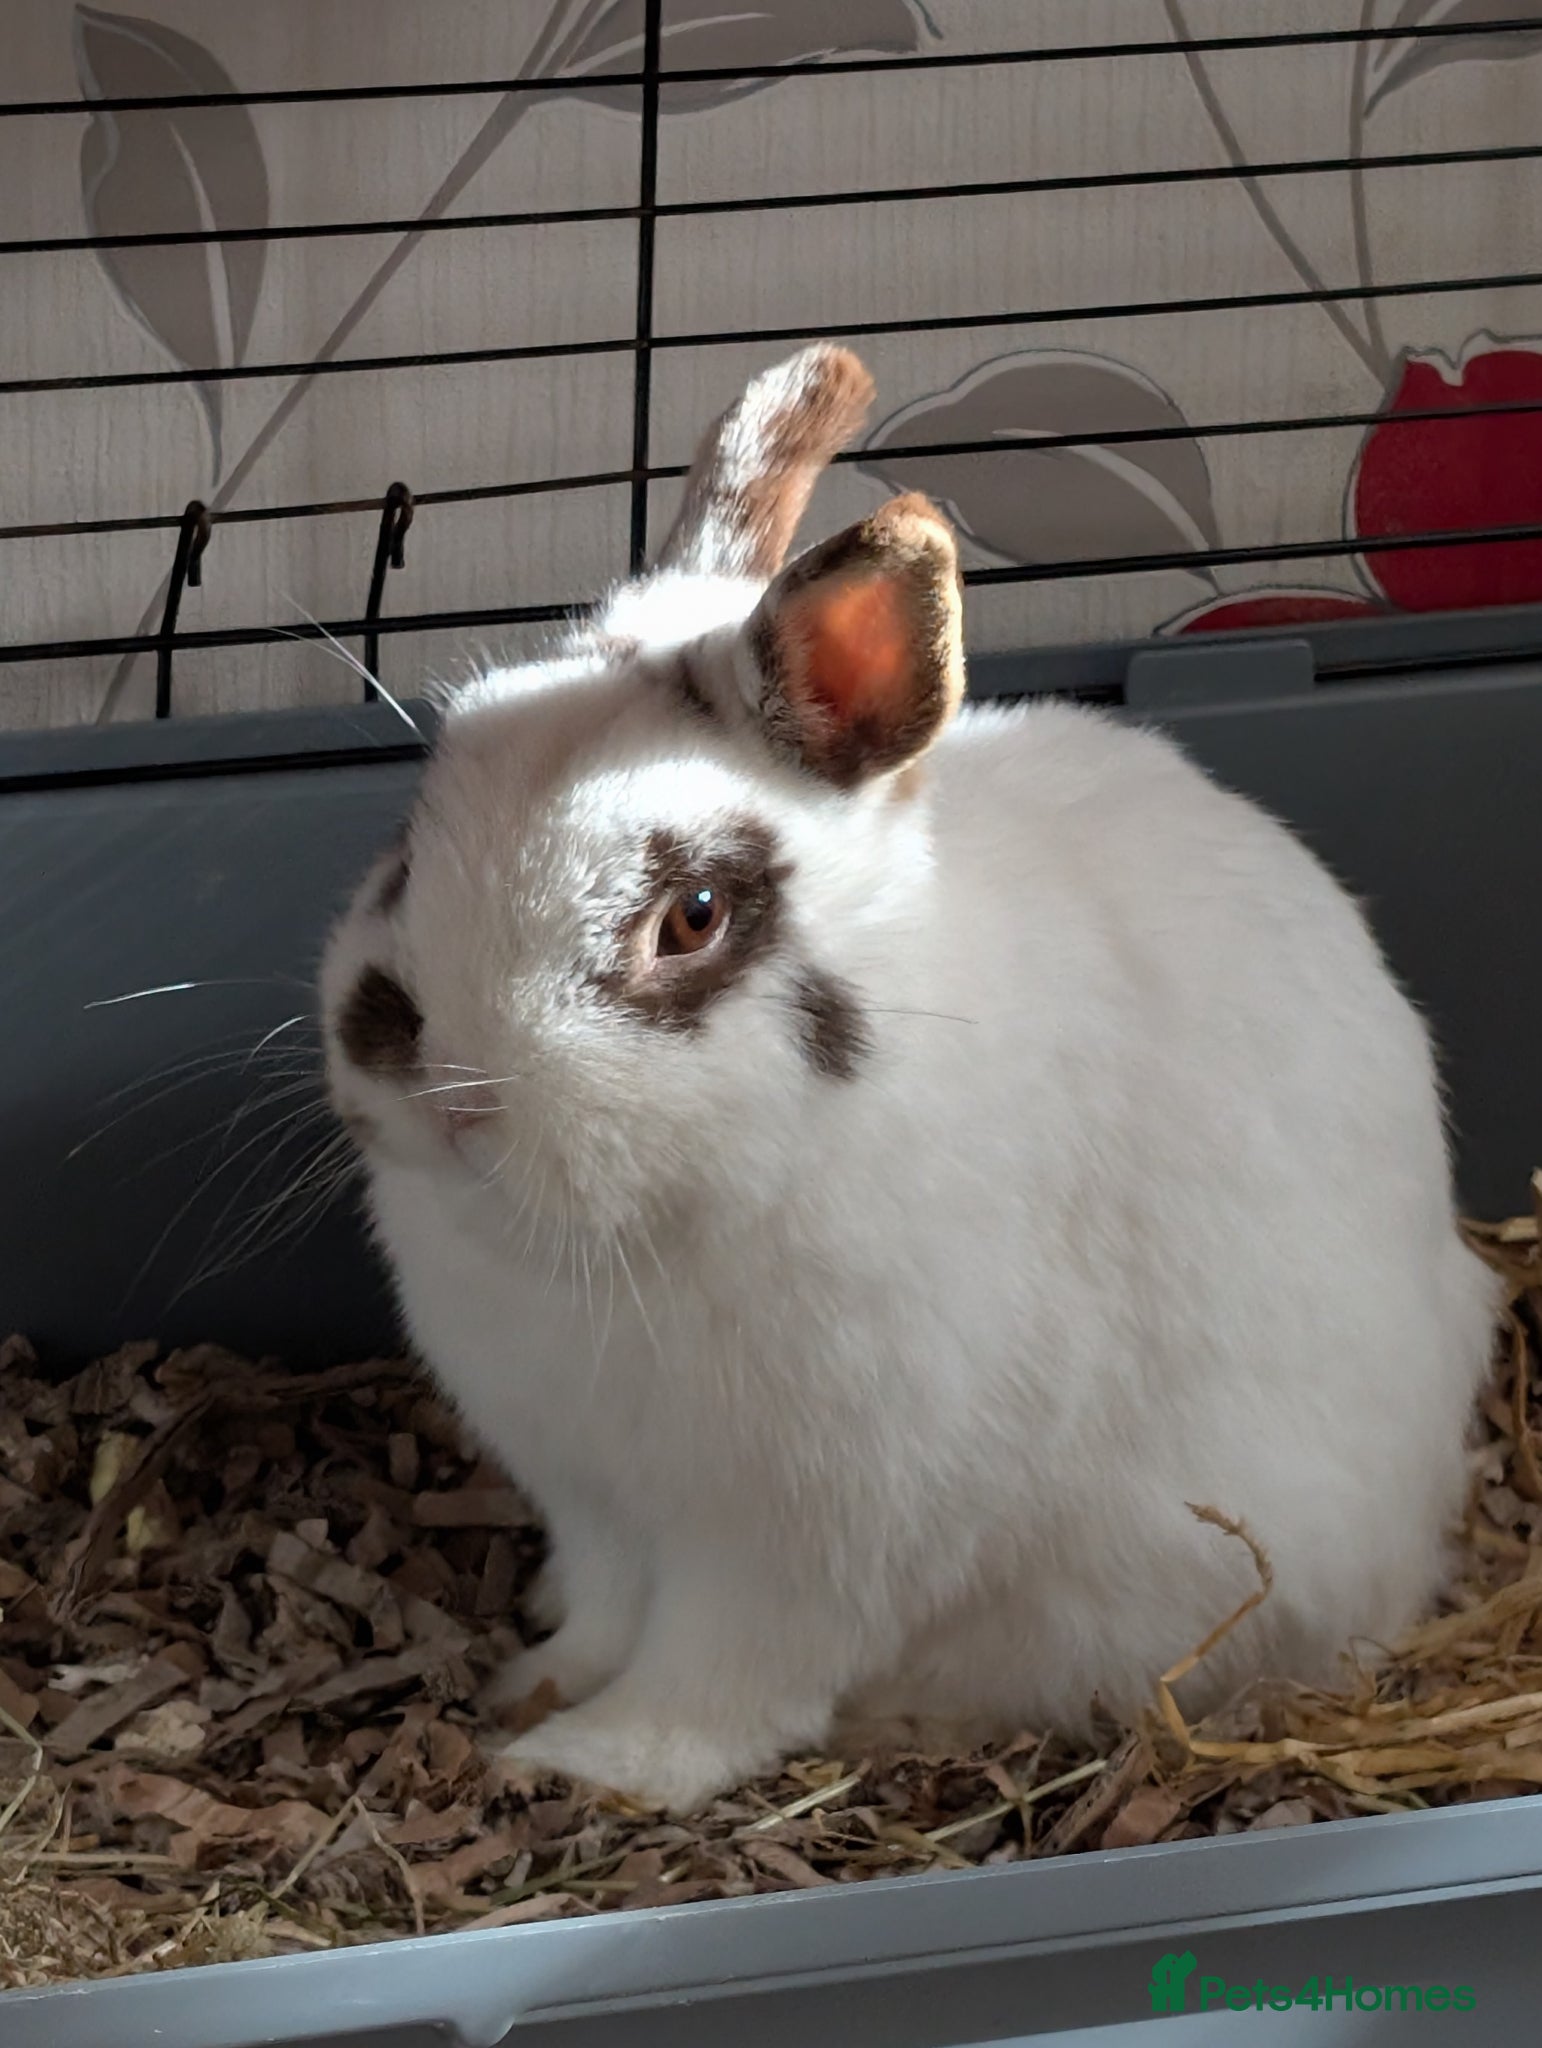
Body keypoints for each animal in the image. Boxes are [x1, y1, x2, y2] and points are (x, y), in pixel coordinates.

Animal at [319, 342, 1498, 1815]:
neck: (636, 1235)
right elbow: (601, 1610)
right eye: (410, 847)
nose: (452, 1095)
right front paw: (530, 1686)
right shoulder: (593, 1495)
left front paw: (588, 1763)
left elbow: (719, 1677)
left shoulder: (811, 1536)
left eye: (693, 915)